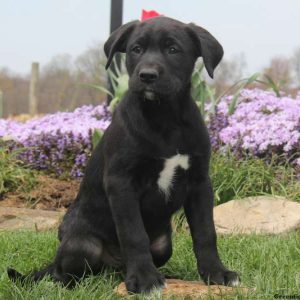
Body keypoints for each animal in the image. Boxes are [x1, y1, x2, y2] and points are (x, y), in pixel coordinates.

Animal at [7, 15, 239, 292]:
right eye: (136, 49)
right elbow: (134, 234)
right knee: (64, 272)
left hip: (163, 246)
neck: (164, 118)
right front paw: (145, 279)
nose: (147, 75)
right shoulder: (122, 183)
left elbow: (206, 232)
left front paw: (216, 273)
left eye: (173, 49)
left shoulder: (200, 182)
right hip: (81, 244)